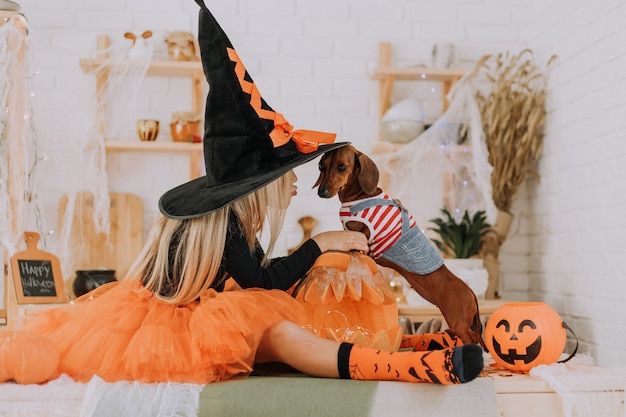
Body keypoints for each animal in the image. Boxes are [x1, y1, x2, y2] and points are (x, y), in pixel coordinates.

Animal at [314, 145, 486, 346]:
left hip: (459, 323)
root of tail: (471, 293)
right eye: (321, 166)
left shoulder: (361, 237)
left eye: (341, 167)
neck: (360, 196)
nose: (322, 192)